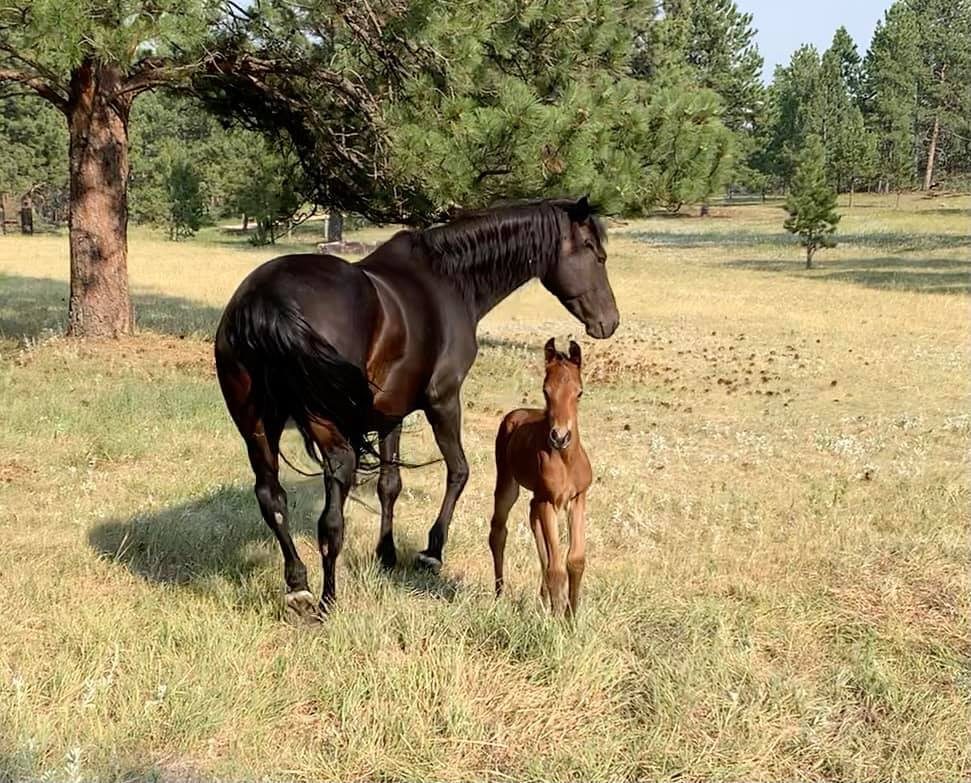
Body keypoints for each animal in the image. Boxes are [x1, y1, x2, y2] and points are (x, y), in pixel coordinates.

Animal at [489, 338, 591, 616]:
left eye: (579, 392)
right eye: (546, 391)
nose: (560, 436)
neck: (566, 460)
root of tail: (516, 413)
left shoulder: (578, 498)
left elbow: (575, 560)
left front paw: (571, 616)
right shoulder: (549, 500)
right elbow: (556, 567)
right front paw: (556, 620)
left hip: (537, 498)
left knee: (535, 527)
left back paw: (544, 597)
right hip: (508, 485)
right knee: (498, 532)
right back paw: (499, 595)